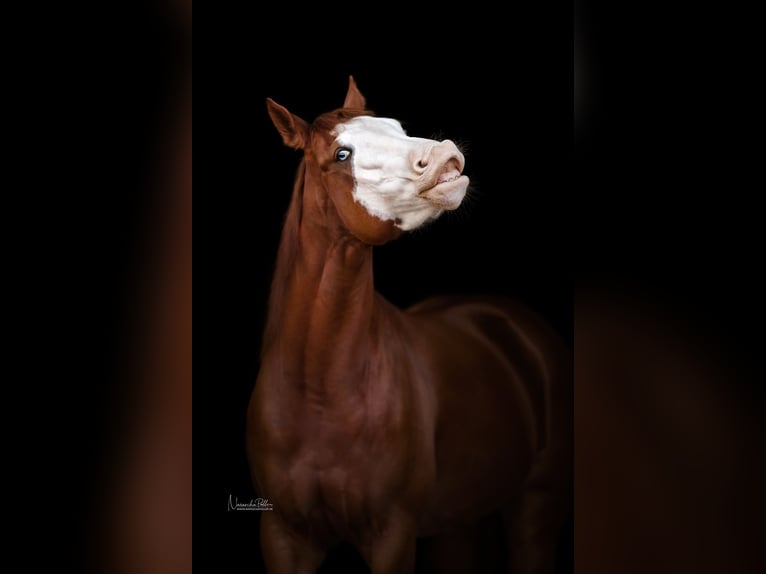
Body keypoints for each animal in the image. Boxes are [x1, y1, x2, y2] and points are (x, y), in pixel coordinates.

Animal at [247, 76, 572, 574]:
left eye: (397, 126)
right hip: (458, 521)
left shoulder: (392, 533)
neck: (318, 395)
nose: (445, 157)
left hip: (537, 504)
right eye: (341, 154)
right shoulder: (283, 534)